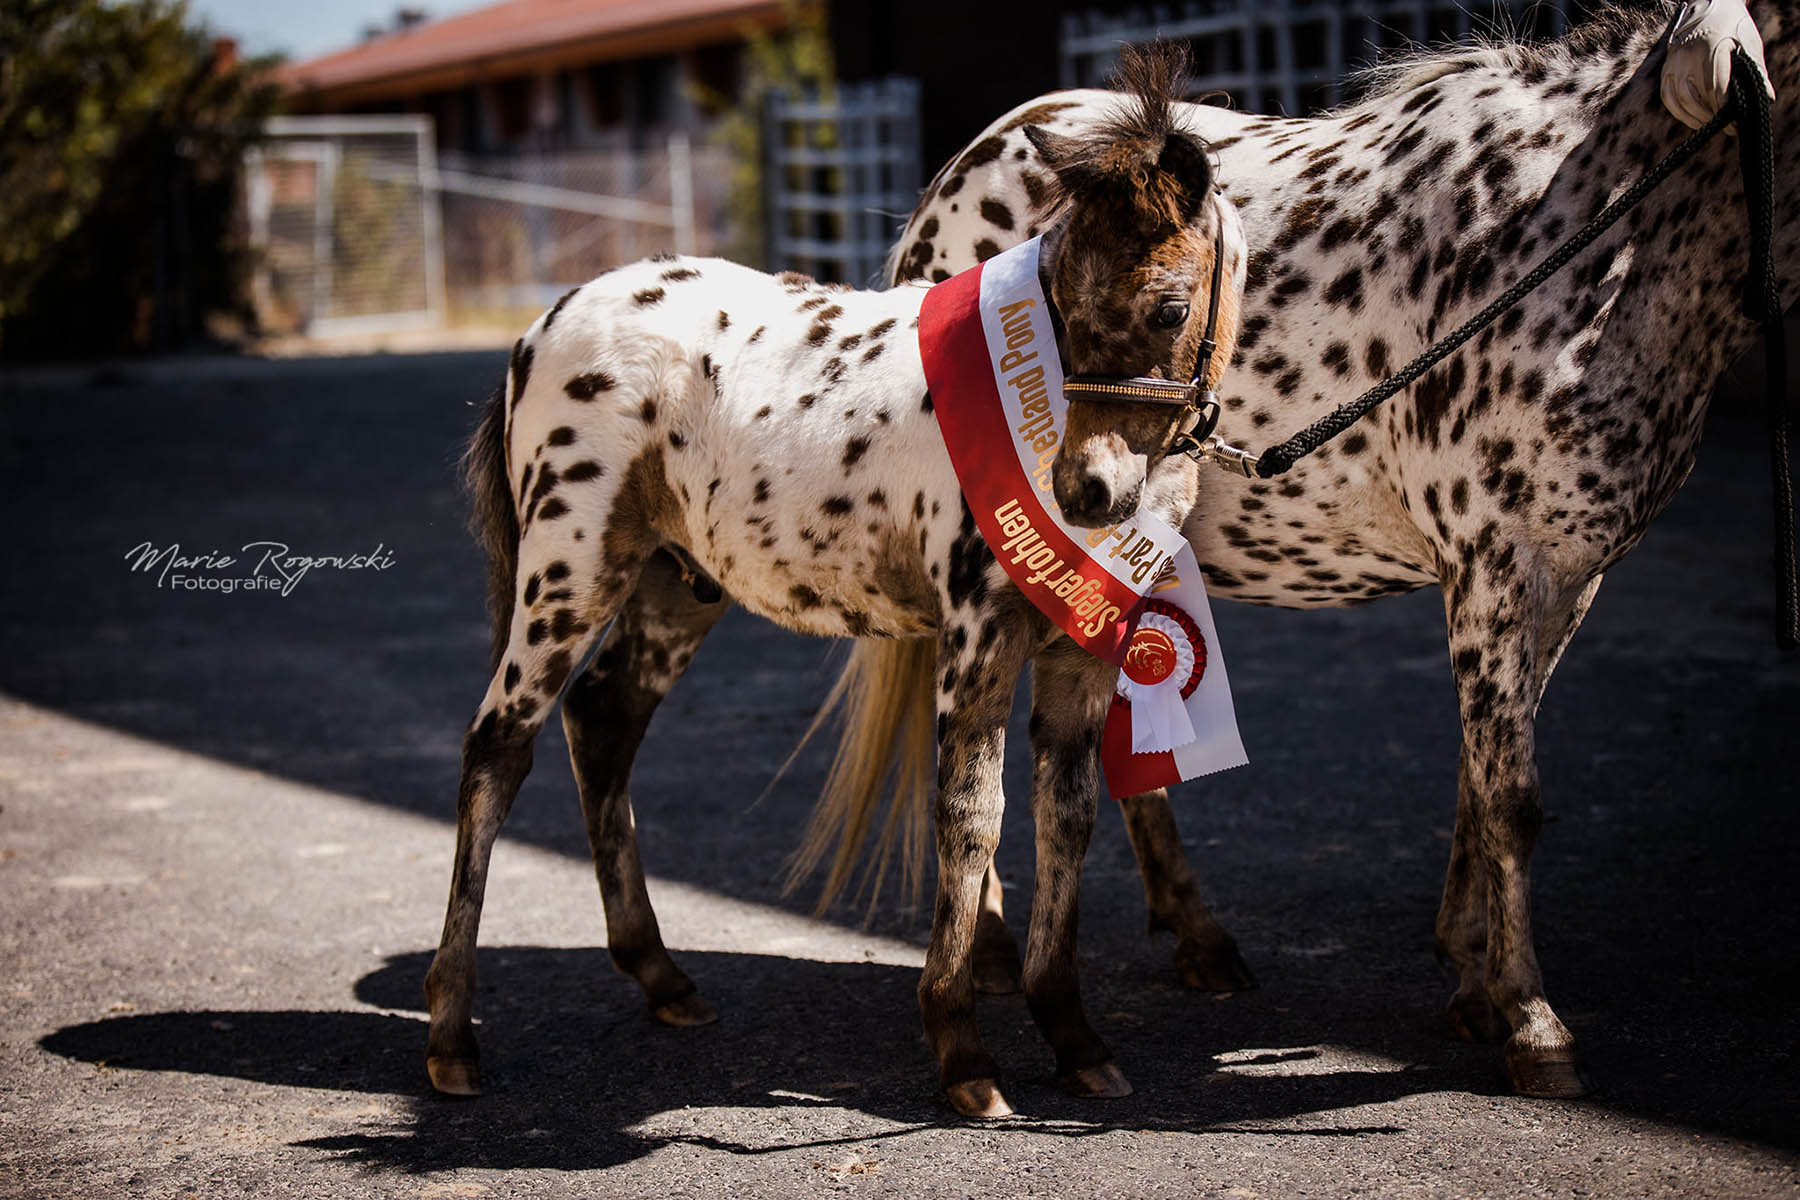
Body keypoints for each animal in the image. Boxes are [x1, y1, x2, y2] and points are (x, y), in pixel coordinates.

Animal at [878, 0, 1792, 1101]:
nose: (1083, 481)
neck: (1593, 225)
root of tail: (957, 173)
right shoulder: (1495, 563)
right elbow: (1511, 797)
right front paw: (1534, 1022)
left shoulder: (1568, 578)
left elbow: (1481, 779)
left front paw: (1477, 980)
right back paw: (1002, 953)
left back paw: (1189, 938)